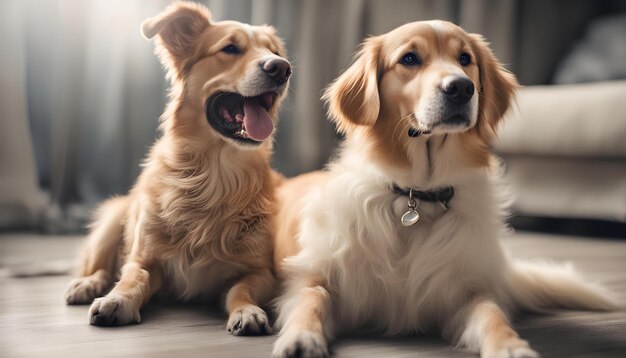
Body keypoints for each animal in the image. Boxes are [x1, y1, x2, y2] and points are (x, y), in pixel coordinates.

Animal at [270, 20, 616, 358]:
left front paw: (511, 346)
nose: (461, 87)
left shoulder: (465, 293)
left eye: (465, 58)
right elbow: (310, 300)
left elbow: (492, 314)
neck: (418, 194)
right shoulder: (315, 276)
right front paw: (301, 337)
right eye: (409, 58)